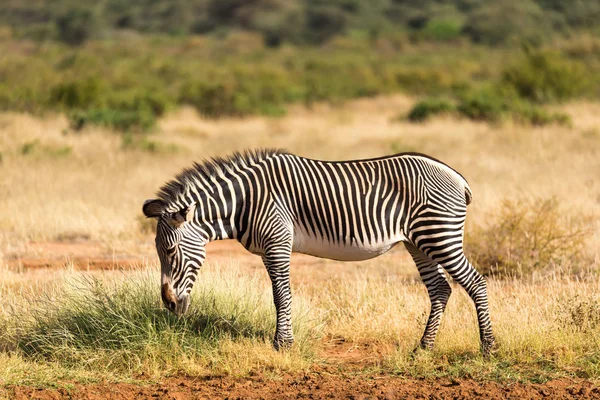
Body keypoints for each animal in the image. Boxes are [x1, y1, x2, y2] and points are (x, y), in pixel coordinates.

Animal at [142, 148, 496, 354]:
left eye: (170, 251)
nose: (169, 305)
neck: (244, 201)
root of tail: (456, 175)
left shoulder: (277, 242)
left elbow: (281, 295)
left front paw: (283, 344)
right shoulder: (270, 248)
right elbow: (279, 295)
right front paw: (282, 341)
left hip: (439, 234)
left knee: (476, 283)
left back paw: (488, 347)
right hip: (419, 241)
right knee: (440, 289)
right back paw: (423, 348)